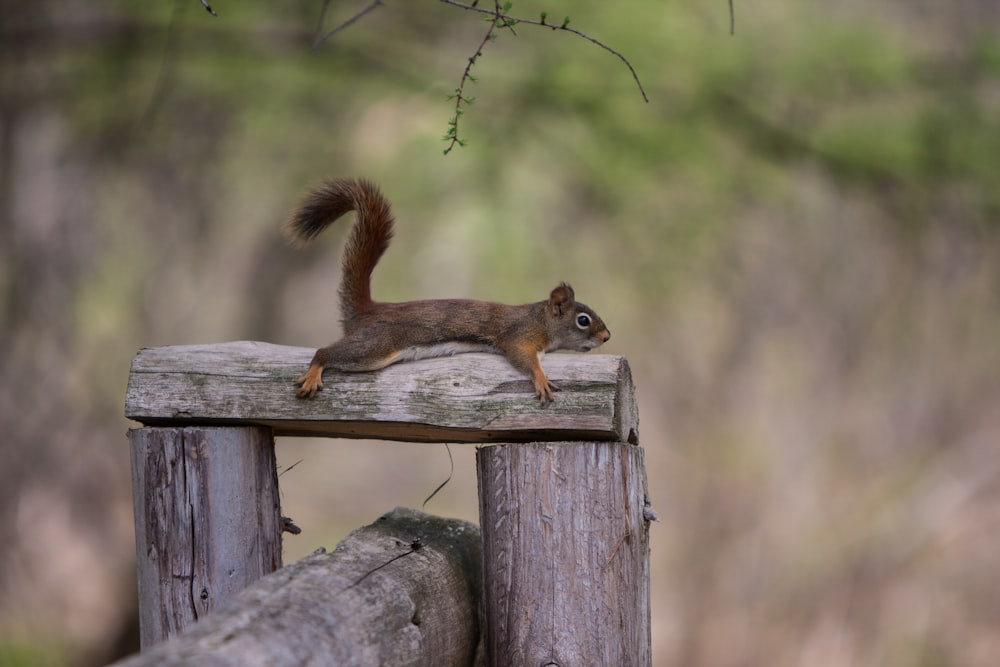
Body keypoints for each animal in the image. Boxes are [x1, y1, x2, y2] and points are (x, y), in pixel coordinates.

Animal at [282, 177, 608, 404]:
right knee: (326, 352)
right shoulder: (518, 335)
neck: (540, 318)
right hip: (374, 347)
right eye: (583, 320)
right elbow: (522, 358)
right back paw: (314, 372)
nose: (607, 336)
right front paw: (541, 378)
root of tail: (368, 310)